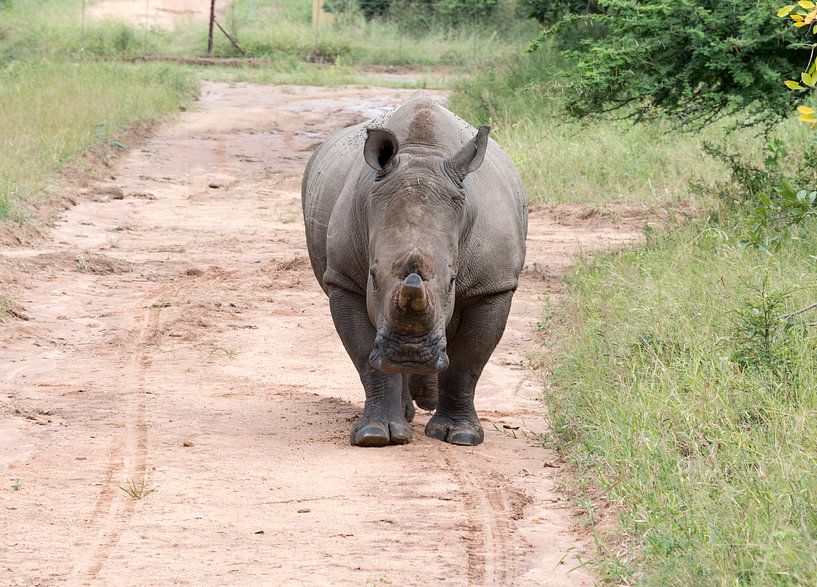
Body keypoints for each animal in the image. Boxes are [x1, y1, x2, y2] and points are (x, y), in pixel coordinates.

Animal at [301, 92, 527, 447]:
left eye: (452, 281)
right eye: (372, 277)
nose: (409, 353)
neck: (423, 154)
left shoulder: (493, 285)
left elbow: (468, 361)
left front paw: (461, 437)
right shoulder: (344, 279)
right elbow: (366, 358)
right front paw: (376, 435)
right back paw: (407, 410)